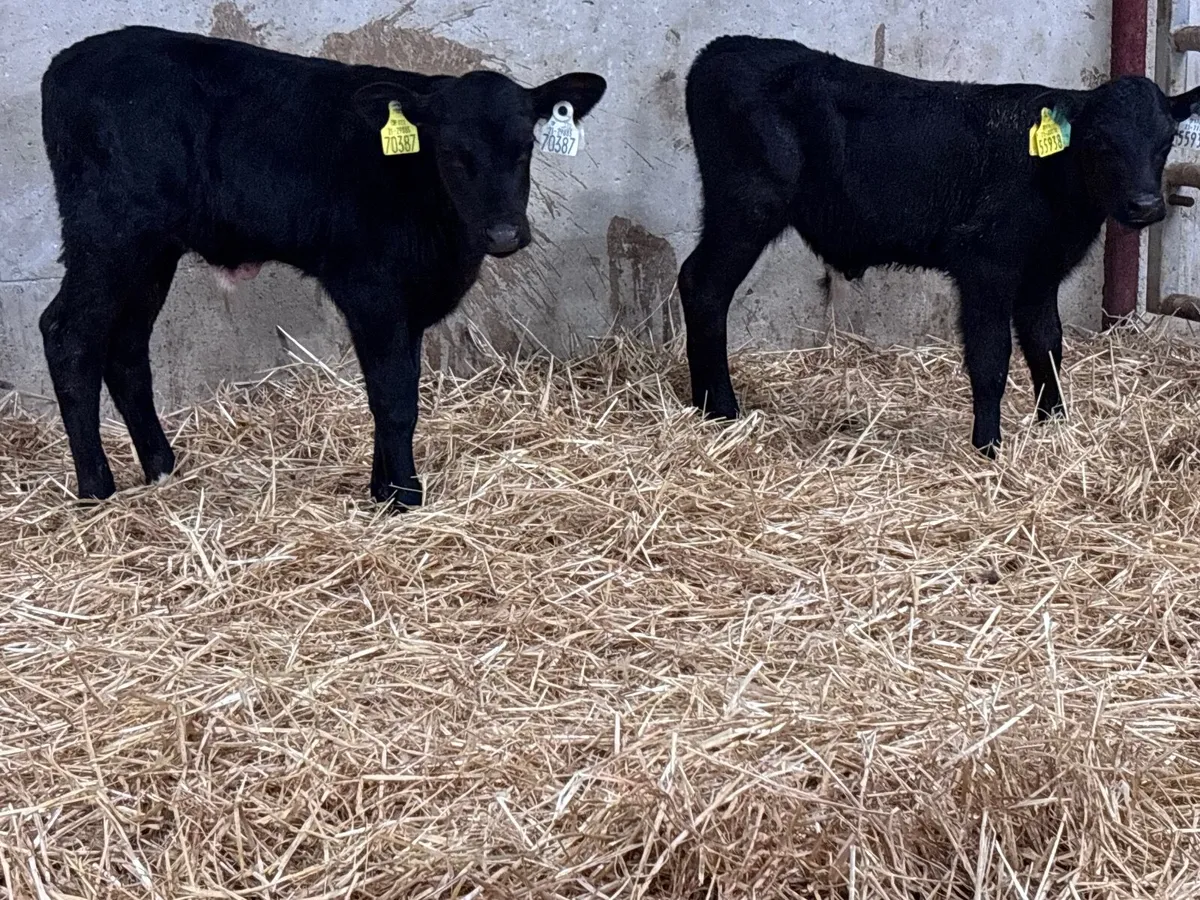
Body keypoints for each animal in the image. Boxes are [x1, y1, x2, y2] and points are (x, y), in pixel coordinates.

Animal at [38, 26, 605, 508]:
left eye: (527, 145)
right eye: (450, 151)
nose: (505, 234)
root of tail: (66, 62)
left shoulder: (408, 301)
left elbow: (394, 388)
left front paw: (383, 488)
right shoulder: (369, 287)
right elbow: (394, 397)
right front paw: (404, 497)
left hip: (151, 250)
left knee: (127, 348)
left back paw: (161, 468)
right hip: (107, 235)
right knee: (68, 335)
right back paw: (95, 489)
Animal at [677, 36, 1200, 456]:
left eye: (1167, 141)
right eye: (1101, 142)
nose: (1145, 206)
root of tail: (721, 49)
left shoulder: (1041, 272)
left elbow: (1046, 345)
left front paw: (1055, 426)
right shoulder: (984, 264)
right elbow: (991, 357)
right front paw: (988, 447)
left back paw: (705, 404)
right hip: (747, 207)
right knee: (703, 286)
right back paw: (721, 408)